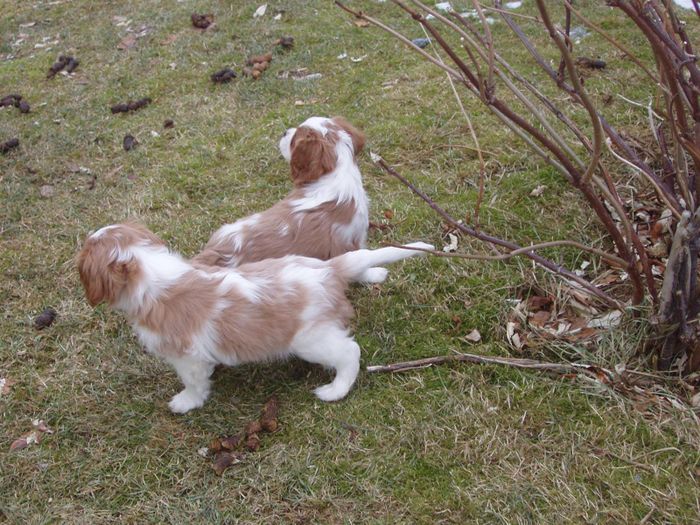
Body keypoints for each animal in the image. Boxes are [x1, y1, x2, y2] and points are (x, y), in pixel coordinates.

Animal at [74, 223, 430, 412]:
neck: (152, 273)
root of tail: (328, 269)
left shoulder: (186, 357)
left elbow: (194, 382)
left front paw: (186, 402)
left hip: (311, 340)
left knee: (350, 353)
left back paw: (335, 389)